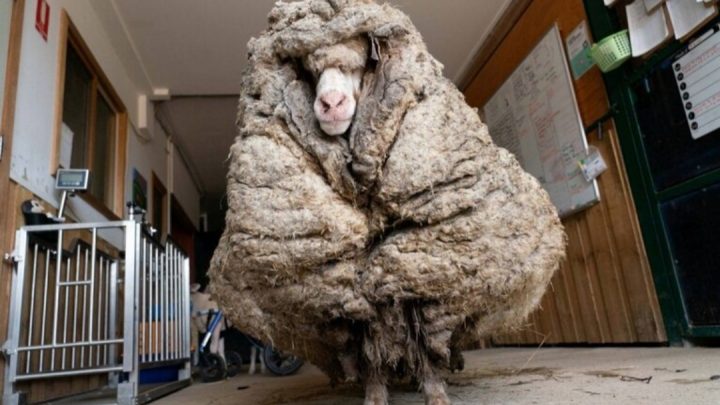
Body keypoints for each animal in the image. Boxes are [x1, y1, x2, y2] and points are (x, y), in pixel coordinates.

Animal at [209, 1, 566, 404]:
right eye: (310, 69)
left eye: (361, 62)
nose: (330, 104)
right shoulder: (353, 290)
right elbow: (370, 348)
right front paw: (376, 395)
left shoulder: (412, 265)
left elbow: (421, 335)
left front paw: (434, 392)